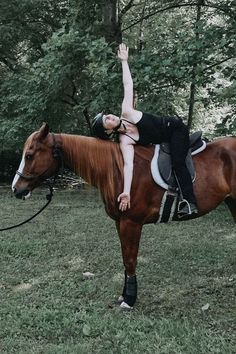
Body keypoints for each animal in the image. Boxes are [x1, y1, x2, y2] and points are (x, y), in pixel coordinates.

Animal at [12, 123, 236, 308]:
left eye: (29, 155)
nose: (17, 189)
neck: (117, 170)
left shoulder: (131, 223)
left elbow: (130, 260)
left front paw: (130, 298)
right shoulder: (120, 223)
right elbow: (124, 259)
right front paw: (125, 294)